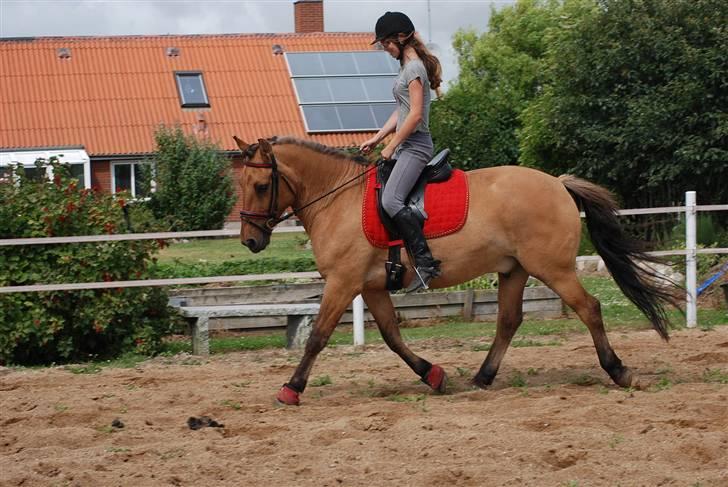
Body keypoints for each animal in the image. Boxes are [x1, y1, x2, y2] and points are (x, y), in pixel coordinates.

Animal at [232, 135, 676, 406]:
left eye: (260, 186)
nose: (249, 241)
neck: (337, 199)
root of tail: (558, 183)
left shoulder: (343, 283)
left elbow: (318, 337)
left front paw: (291, 389)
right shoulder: (371, 287)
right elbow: (392, 337)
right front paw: (433, 375)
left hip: (553, 269)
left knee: (589, 308)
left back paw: (618, 370)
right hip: (514, 270)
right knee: (508, 321)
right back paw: (482, 377)